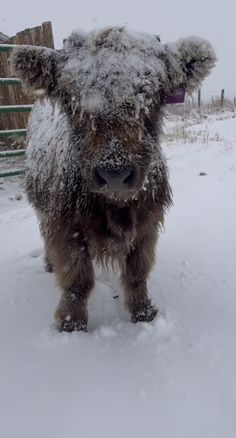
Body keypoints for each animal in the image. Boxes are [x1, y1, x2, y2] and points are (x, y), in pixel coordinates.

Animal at [11, 27, 216, 332]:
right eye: (70, 99)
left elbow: (137, 273)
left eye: (153, 96)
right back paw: (48, 263)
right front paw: (72, 324)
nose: (115, 174)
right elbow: (78, 278)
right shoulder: (64, 226)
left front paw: (143, 313)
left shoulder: (148, 224)